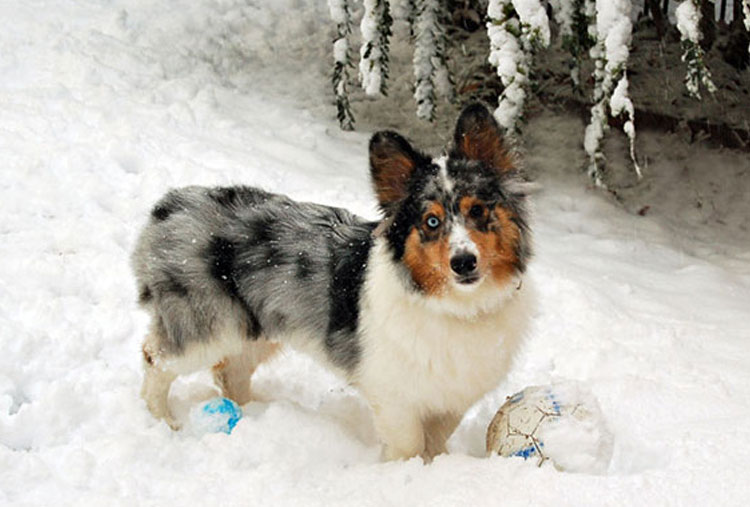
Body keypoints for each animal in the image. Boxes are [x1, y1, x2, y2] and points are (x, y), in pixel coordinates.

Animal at [134, 102, 536, 460]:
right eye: (431, 221)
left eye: (478, 210)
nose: (463, 263)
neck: (457, 307)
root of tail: (167, 208)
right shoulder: (394, 395)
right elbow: (408, 445)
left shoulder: (452, 397)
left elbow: (436, 440)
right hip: (208, 326)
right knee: (157, 359)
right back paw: (165, 421)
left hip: (256, 328)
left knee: (229, 372)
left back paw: (251, 414)